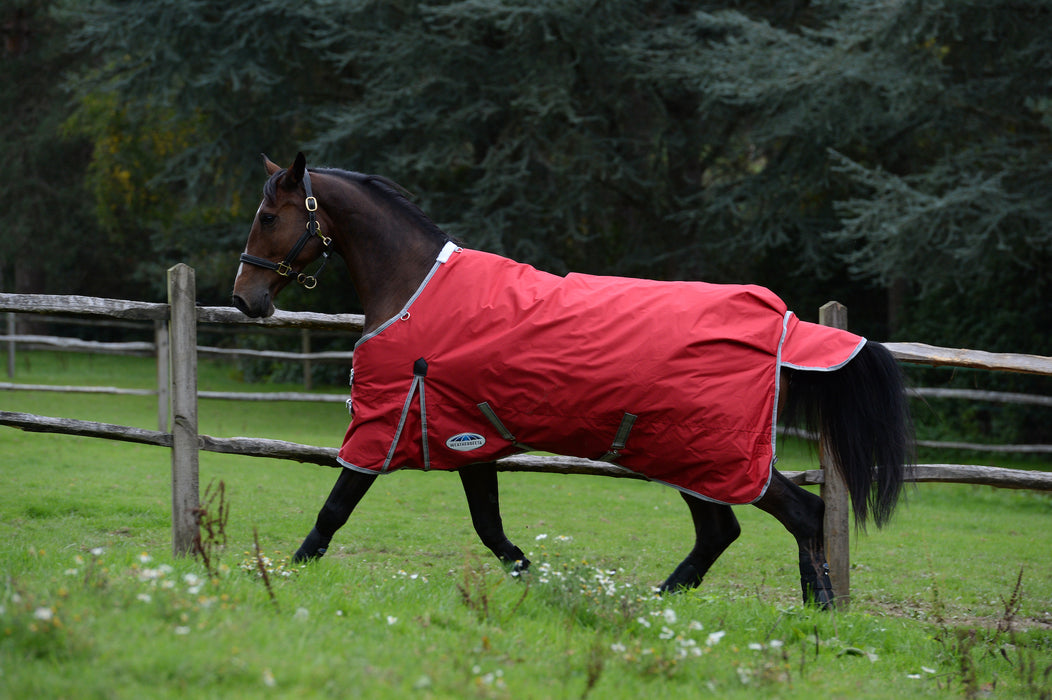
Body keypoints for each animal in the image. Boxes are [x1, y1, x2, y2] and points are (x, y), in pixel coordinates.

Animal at [232, 151, 913, 606]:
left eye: (267, 215)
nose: (245, 298)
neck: (415, 288)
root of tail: (784, 326)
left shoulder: (387, 425)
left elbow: (335, 508)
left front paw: (285, 572)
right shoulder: (467, 436)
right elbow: (489, 526)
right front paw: (532, 578)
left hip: (710, 456)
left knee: (799, 512)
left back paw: (815, 607)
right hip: (693, 460)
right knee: (727, 530)